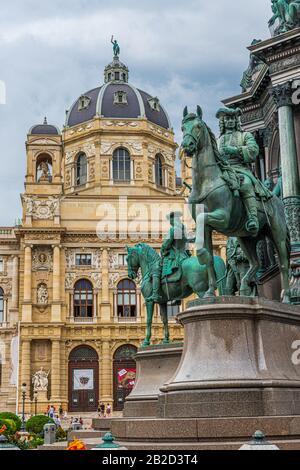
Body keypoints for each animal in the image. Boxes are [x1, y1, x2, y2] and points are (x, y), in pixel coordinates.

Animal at [180, 106, 290, 302]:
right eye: (182, 127)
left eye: (198, 126)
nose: (188, 146)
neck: (207, 181)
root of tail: (276, 199)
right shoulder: (208, 228)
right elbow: (209, 258)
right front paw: (210, 291)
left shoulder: (222, 217)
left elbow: (201, 220)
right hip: (246, 238)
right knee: (255, 263)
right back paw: (245, 287)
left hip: (277, 232)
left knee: (284, 263)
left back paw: (286, 298)